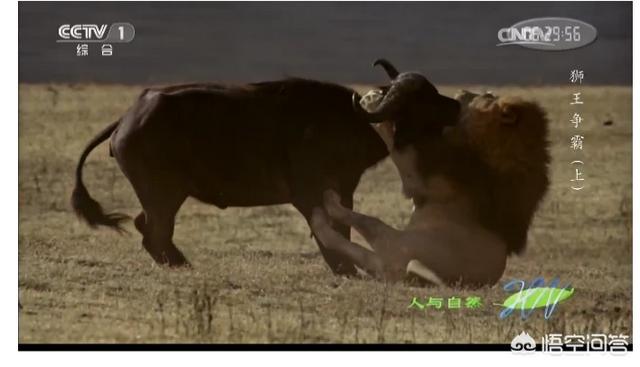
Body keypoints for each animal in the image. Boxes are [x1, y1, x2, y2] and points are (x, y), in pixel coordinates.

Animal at [310, 90, 552, 288]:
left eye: (484, 96)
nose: (462, 91)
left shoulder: (421, 182)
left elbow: (397, 148)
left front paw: (372, 101)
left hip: (400, 245)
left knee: (369, 232)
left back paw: (325, 211)